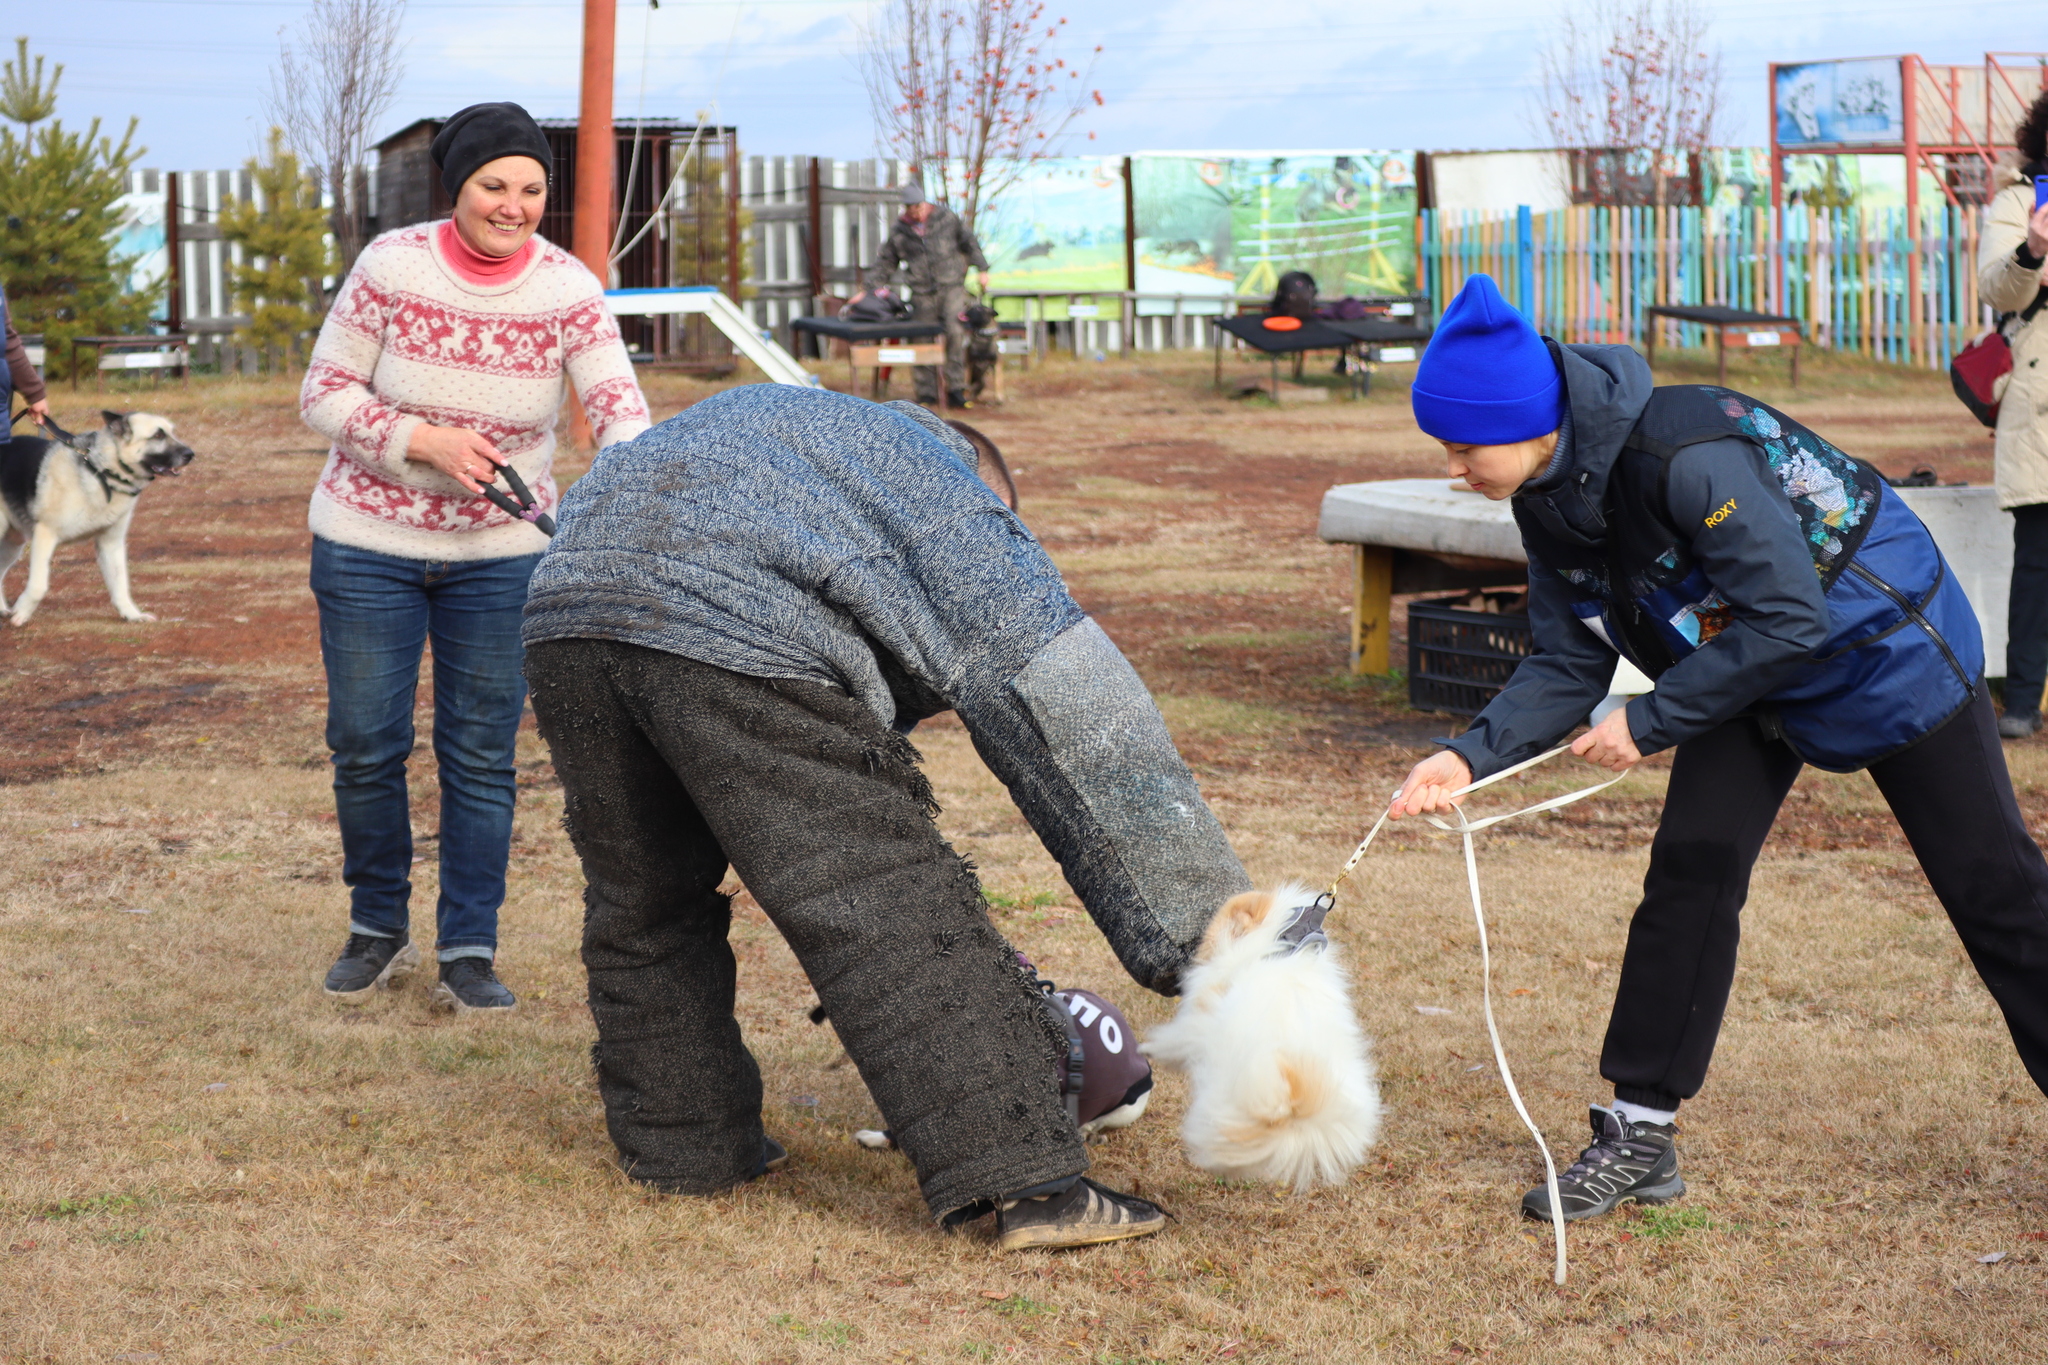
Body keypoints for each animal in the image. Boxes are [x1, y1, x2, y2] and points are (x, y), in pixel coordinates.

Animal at [0, 409, 193, 626]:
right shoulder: (45, 535)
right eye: (158, 435)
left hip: (12, 544)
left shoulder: (111, 544)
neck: (102, 472)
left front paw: (132, 614)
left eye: (171, 432)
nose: (190, 454)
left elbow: (120, 584)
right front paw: (22, 612)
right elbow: (38, 585)